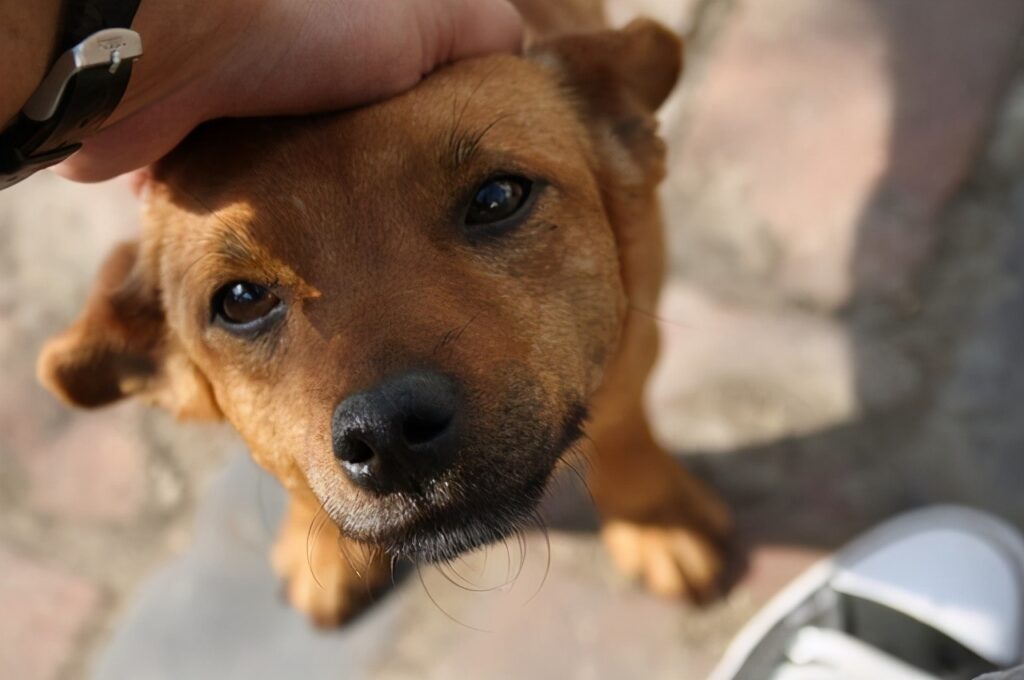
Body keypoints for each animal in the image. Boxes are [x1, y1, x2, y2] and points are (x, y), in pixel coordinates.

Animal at [36, 14, 733, 626]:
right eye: (240, 300)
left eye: (497, 197)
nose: (390, 431)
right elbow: (299, 482)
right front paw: (325, 547)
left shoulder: (635, 326)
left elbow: (620, 419)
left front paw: (653, 516)